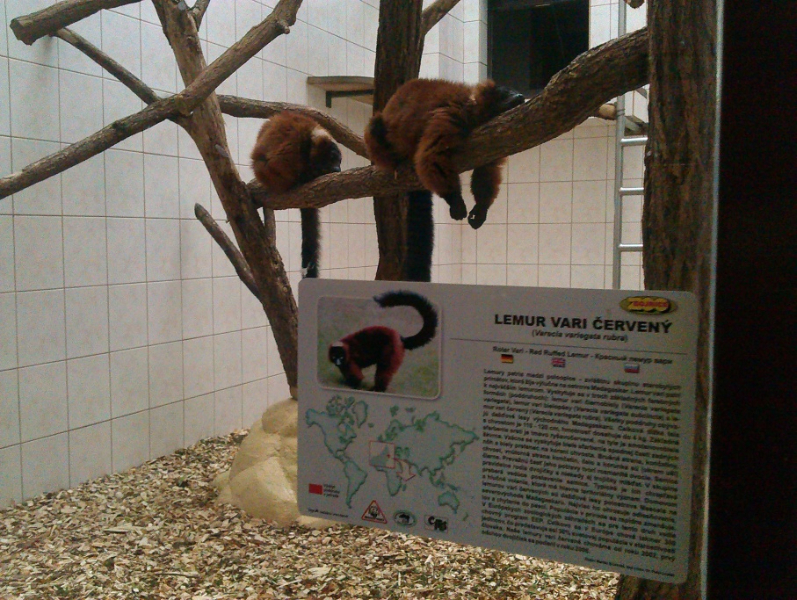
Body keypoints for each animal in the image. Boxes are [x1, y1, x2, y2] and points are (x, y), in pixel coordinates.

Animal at [251, 111, 342, 278]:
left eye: (339, 161)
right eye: (332, 159)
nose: (338, 169)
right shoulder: (294, 142)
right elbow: (276, 162)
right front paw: (307, 175)